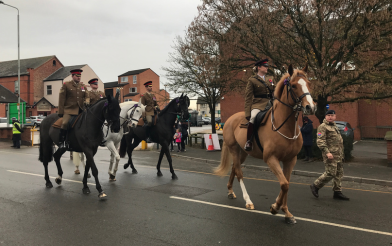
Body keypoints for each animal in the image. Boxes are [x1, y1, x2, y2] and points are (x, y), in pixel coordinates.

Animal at [214, 64, 316, 224]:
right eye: (293, 86)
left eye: (309, 84)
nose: (310, 107)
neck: (285, 126)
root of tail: (230, 119)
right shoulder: (271, 159)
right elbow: (284, 184)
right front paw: (275, 207)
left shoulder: (290, 160)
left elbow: (286, 184)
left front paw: (286, 212)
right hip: (234, 149)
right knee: (239, 172)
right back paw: (248, 201)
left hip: (243, 152)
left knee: (234, 169)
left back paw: (230, 191)